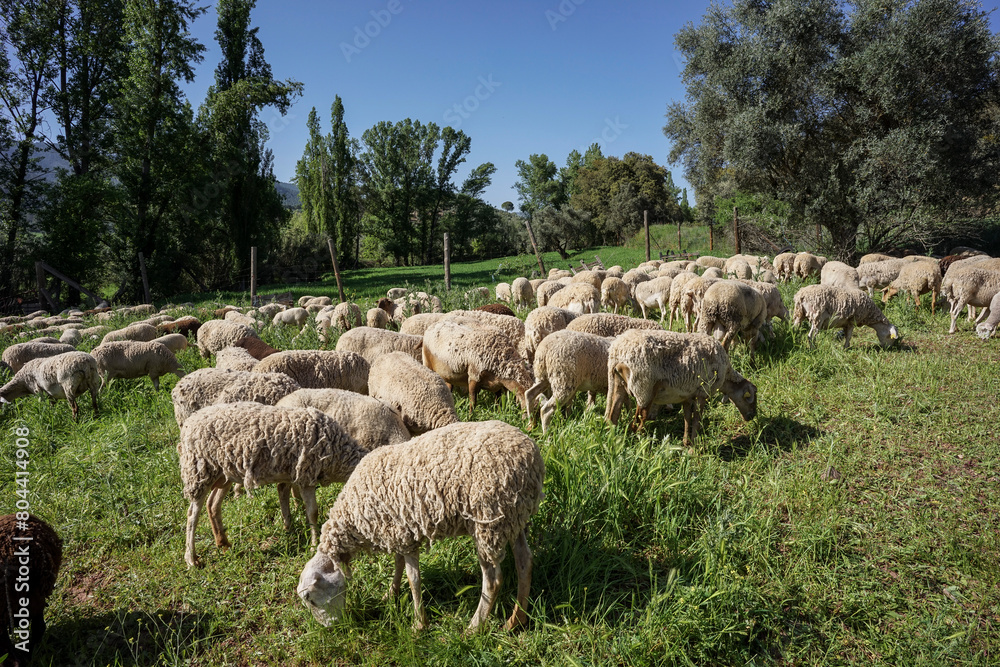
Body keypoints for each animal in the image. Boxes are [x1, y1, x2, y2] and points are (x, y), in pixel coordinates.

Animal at [179, 403, 369, 568]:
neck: (337, 454)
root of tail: (189, 422)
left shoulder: (289, 475)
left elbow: (283, 497)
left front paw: (288, 528)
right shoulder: (307, 475)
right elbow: (312, 512)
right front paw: (314, 544)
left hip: (224, 473)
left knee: (212, 505)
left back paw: (223, 543)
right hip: (199, 468)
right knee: (192, 514)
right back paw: (191, 559)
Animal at [297, 420, 544, 632]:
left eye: (310, 599)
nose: (331, 628)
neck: (353, 516)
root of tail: (532, 458)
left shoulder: (404, 536)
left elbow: (413, 579)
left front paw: (418, 623)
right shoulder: (397, 533)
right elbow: (397, 566)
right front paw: (391, 594)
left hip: (487, 522)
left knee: (493, 581)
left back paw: (474, 627)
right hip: (512, 517)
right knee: (525, 562)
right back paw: (516, 621)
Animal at [604, 329, 758, 445]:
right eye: (749, 398)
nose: (752, 416)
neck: (726, 375)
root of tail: (616, 351)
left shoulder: (687, 396)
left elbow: (687, 418)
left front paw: (686, 442)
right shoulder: (703, 392)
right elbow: (697, 419)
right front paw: (694, 446)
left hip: (620, 384)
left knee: (613, 415)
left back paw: (614, 440)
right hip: (644, 388)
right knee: (638, 420)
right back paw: (640, 443)